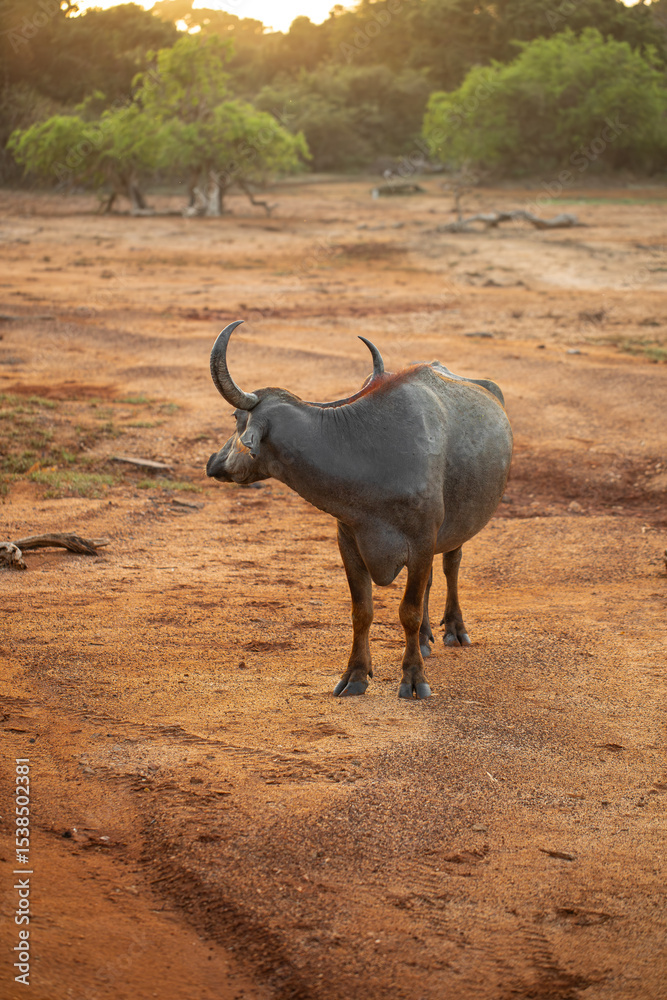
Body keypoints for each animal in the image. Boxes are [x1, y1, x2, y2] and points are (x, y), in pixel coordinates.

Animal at [207, 321, 512, 700]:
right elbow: (362, 611)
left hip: (454, 529)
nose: (213, 461)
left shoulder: (422, 540)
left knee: (450, 566)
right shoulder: (349, 542)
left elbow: (408, 611)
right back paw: (424, 640)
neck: (370, 455)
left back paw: (453, 630)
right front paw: (355, 674)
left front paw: (413, 678)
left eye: (236, 417)